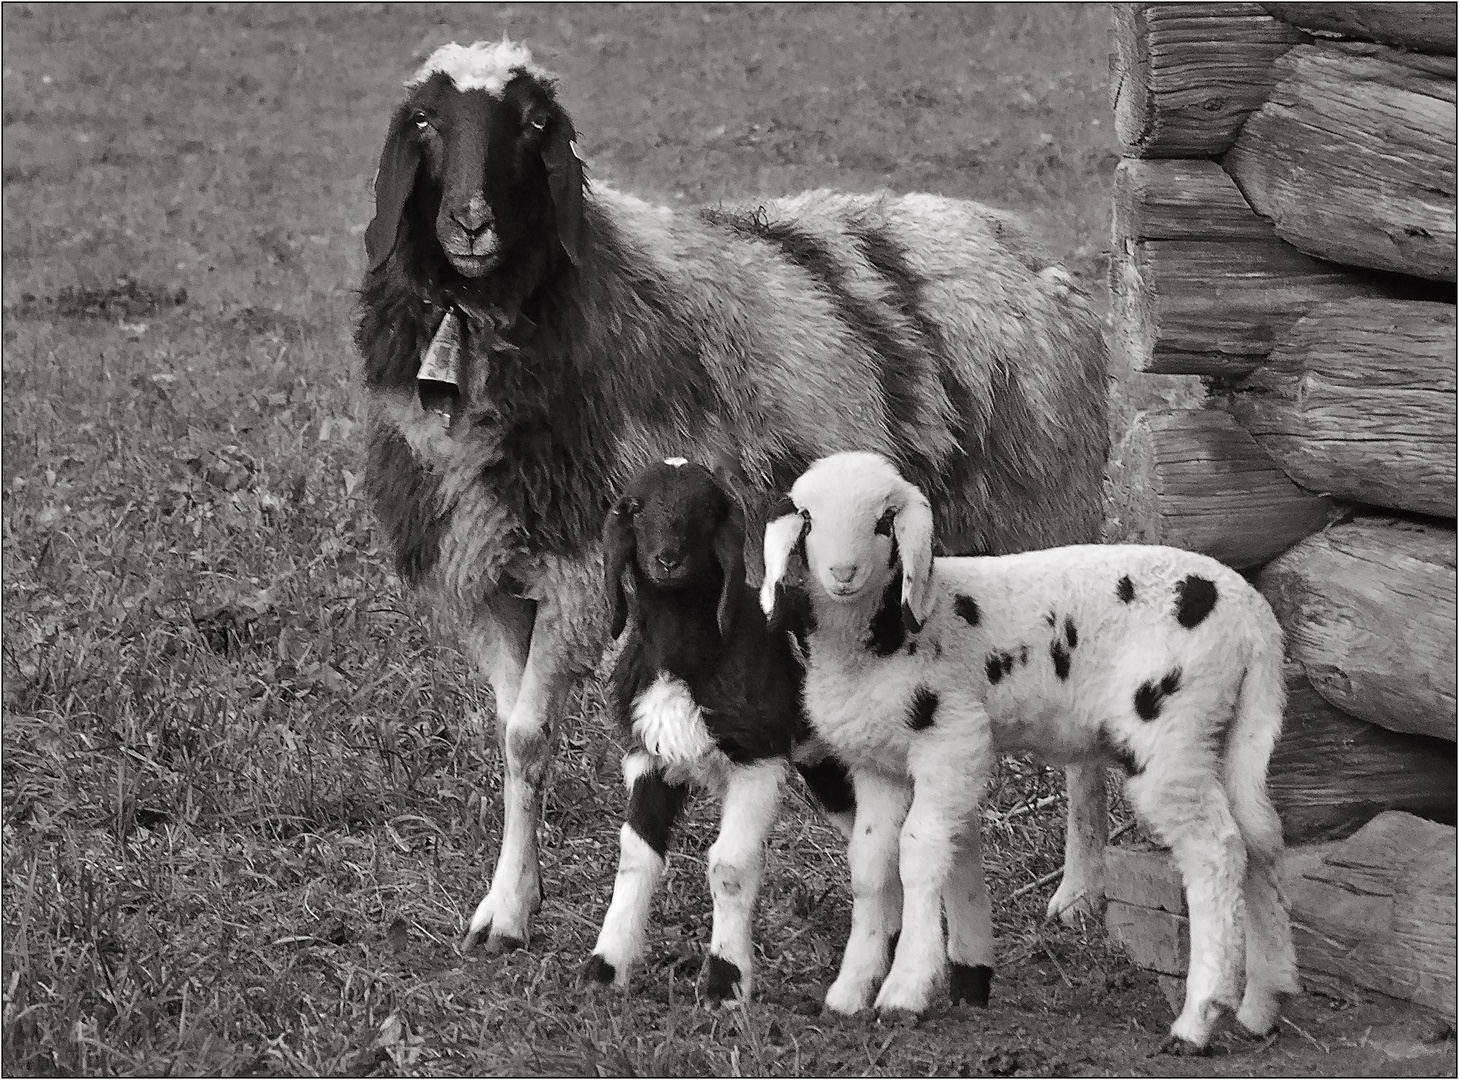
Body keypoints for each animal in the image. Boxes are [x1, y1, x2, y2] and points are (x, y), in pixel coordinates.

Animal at [358, 40, 1108, 951]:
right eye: (424, 122)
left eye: (534, 123)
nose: (470, 221)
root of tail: (1015, 242)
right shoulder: (488, 578)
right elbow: (515, 741)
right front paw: (510, 902)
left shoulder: (576, 575)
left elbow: (532, 738)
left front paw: (511, 910)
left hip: (1048, 513)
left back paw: (1078, 891)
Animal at [764, 452, 1301, 1050]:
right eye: (807, 519)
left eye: (885, 522)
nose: (842, 574)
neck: (877, 639)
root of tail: (1254, 620)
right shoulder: (879, 766)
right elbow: (870, 864)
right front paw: (850, 990)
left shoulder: (951, 740)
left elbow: (919, 853)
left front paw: (905, 990)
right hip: (1230, 730)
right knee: (1259, 840)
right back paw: (1261, 1005)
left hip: (1170, 731)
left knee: (1216, 850)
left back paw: (1197, 1020)